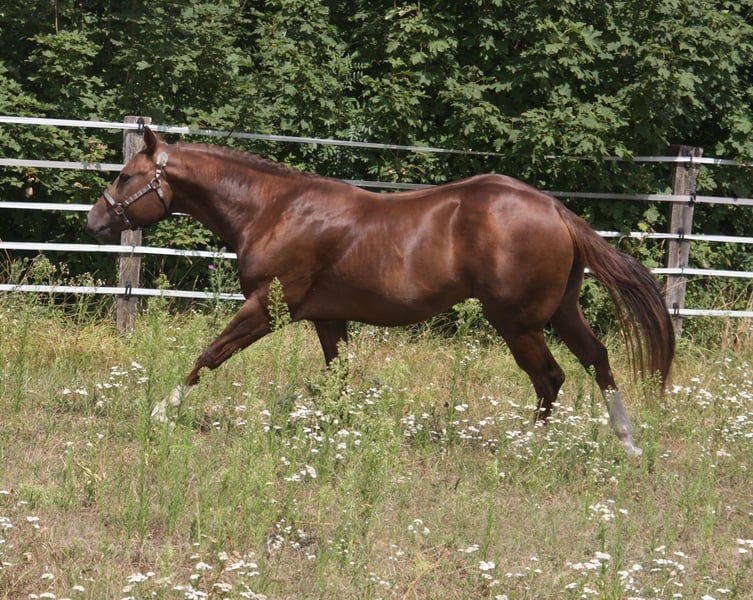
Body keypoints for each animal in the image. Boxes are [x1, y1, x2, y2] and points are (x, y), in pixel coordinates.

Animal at [86, 127, 674, 455]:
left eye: (123, 175)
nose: (93, 221)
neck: (274, 210)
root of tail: (556, 209)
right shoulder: (328, 318)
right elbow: (339, 380)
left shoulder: (267, 309)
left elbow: (209, 354)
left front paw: (161, 412)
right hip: (561, 311)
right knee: (598, 359)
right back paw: (629, 443)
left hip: (517, 321)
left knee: (550, 378)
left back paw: (528, 447)